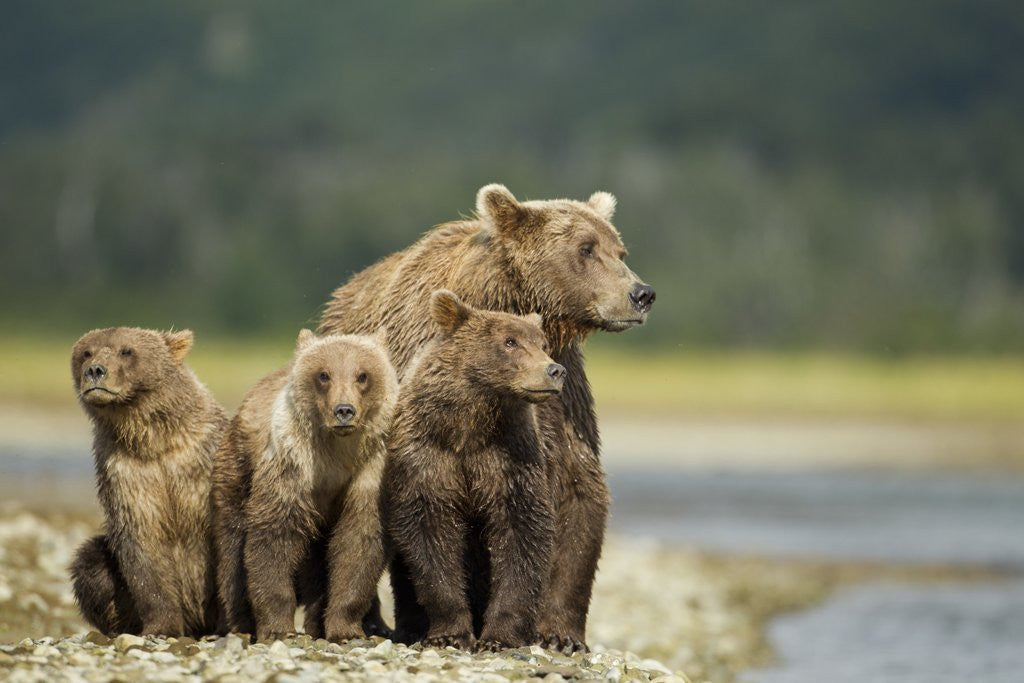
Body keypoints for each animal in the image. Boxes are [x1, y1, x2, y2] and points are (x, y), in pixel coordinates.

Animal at [68, 326, 227, 637]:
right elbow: (142, 544)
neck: (154, 441)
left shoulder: (203, 462)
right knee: (91, 563)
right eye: (86, 352)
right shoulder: (126, 472)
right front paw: (161, 626)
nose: (95, 370)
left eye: (126, 350)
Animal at [211, 329, 398, 643]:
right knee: (233, 545)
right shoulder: (293, 462)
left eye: (362, 375)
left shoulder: (371, 467)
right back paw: (239, 622)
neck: (337, 452)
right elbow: (274, 534)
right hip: (237, 467)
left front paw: (346, 629)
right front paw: (277, 627)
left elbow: (359, 540)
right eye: (324, 374)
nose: (344, 410)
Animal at [382, 290, 563, 651]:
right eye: (510, 341)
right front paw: (450, 632)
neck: (471, 423)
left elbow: (523, 534)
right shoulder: (428, 456)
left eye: (542, 342)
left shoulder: (509, 458)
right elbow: (429, 534)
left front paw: (498, 637)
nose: (555, 370)